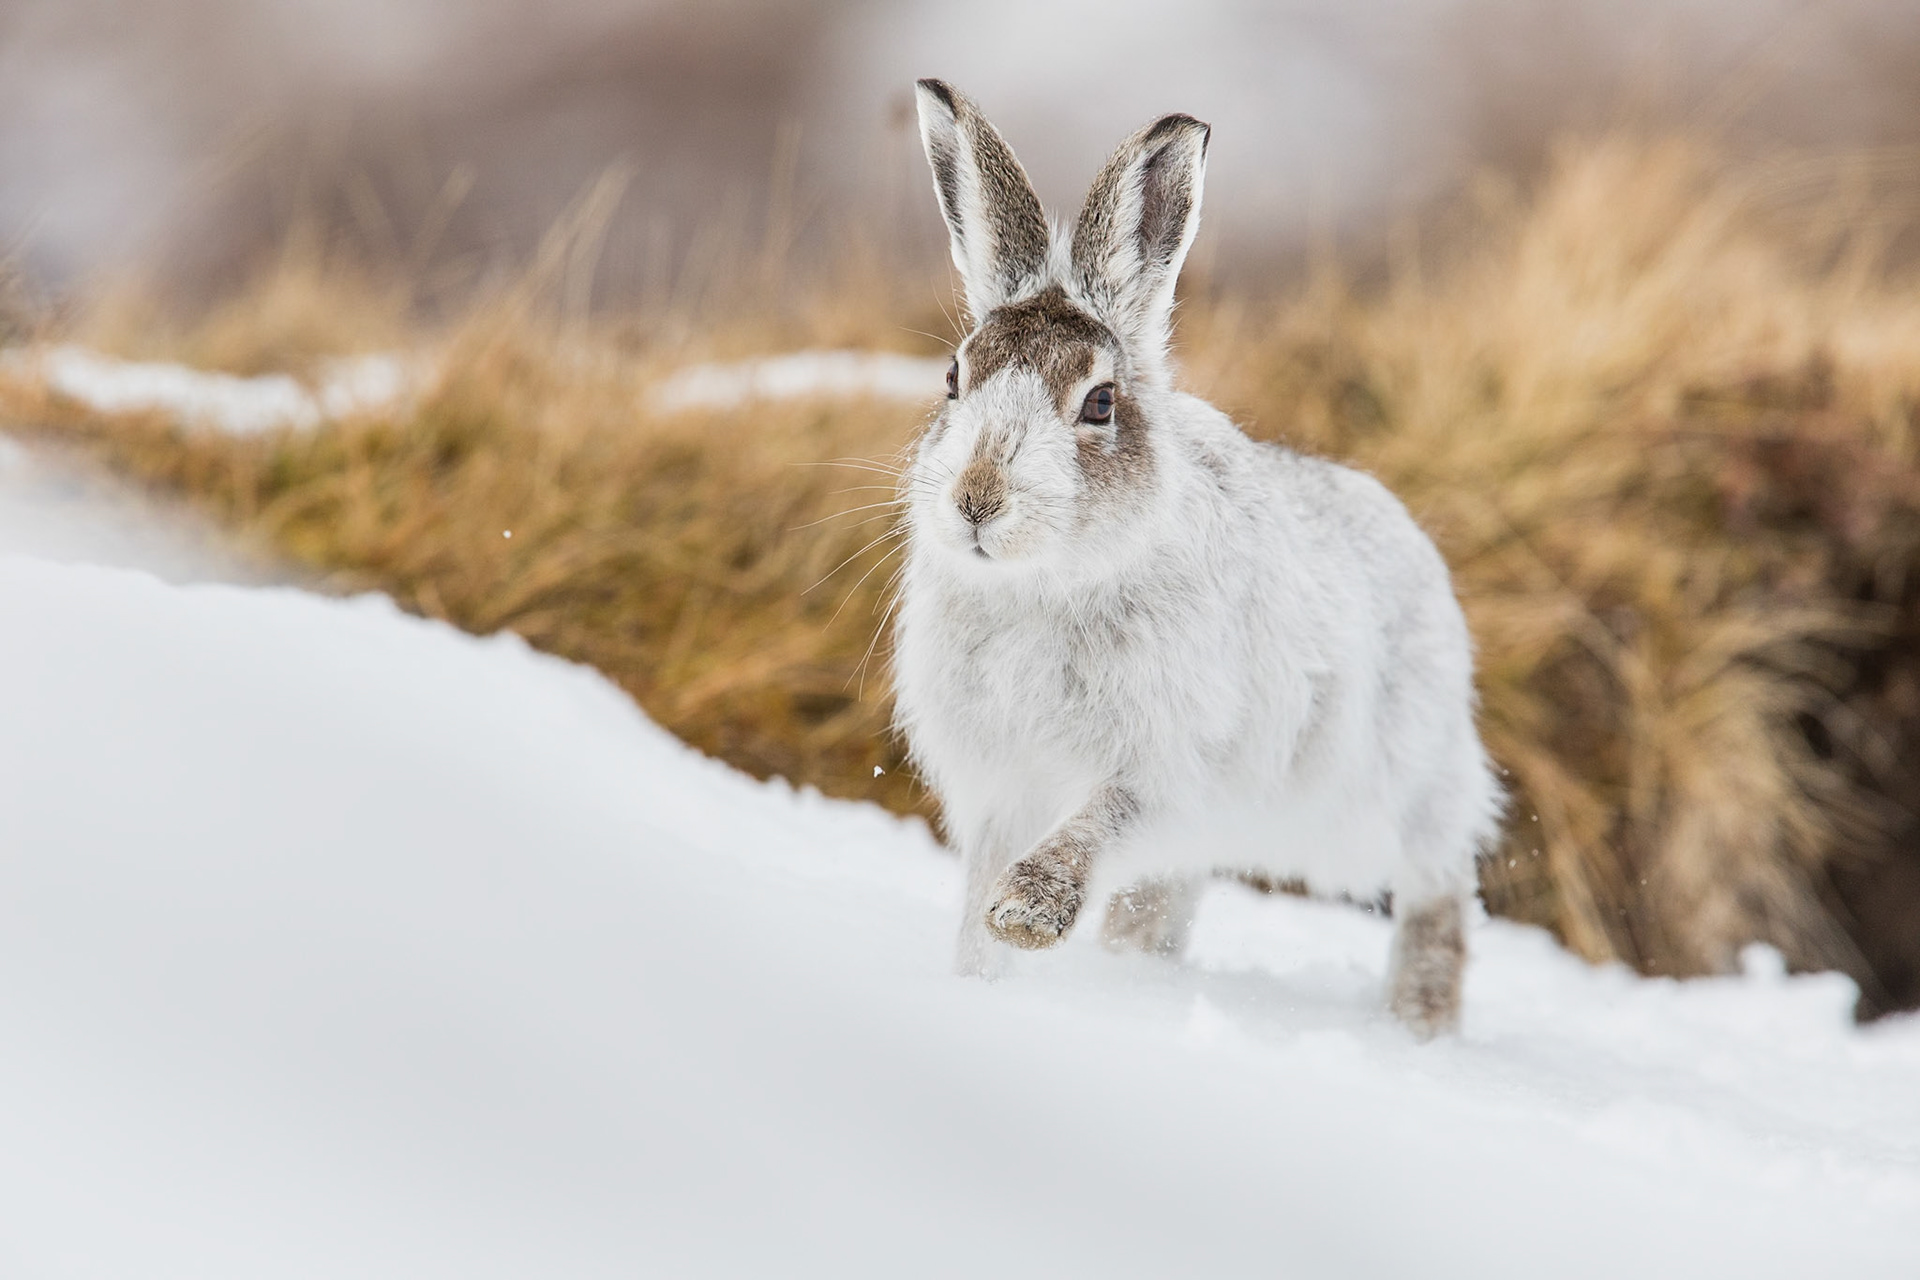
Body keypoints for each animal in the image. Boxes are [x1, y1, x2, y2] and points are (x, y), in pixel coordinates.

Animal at [890, 79, 1503, 1038]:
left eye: (1100, 403)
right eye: (954, 380)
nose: (977, 501)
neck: (1045, 585)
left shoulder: (1161, 766)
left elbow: (1098, 825)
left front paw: (1026, 915)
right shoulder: (1001, 784)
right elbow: (984, 879)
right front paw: (977, 980)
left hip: (1390, 787)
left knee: (1439, 885)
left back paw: (1418, 1025)